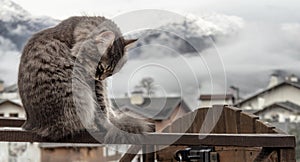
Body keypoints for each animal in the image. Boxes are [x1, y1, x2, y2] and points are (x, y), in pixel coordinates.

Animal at [17, 16, 150, 142]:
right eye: (101, 67)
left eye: (110, 73)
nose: (100, 77)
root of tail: (32, 124)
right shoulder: (93, 82)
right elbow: (102, 107)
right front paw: (110, 125)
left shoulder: (101, 83)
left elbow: (107, 103)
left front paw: (114, 119)